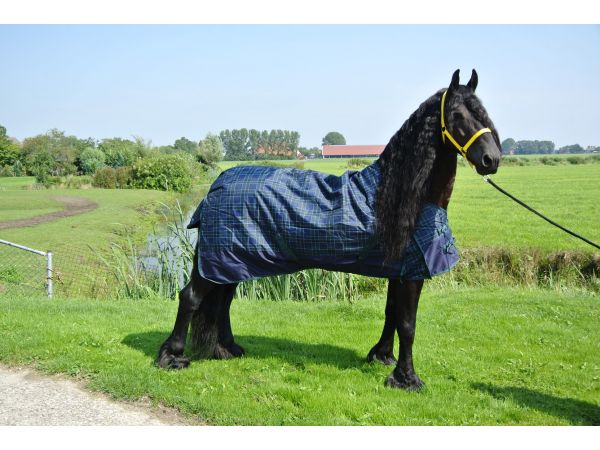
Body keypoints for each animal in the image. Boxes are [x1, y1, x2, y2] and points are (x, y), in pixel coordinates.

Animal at [158, 70, 502, 390]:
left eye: (483, 113)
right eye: (457, 115)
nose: (492, 159)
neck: (399, 196)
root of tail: (217, 183)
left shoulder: (399, 270)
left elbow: (392, 312)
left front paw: (382, 356)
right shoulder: (412, 273)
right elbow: (407, 323)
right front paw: (407, 379)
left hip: (230, 260)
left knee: (223, 301)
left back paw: (226, 349)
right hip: (219, 259)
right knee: (191, 297)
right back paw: (172, 357)